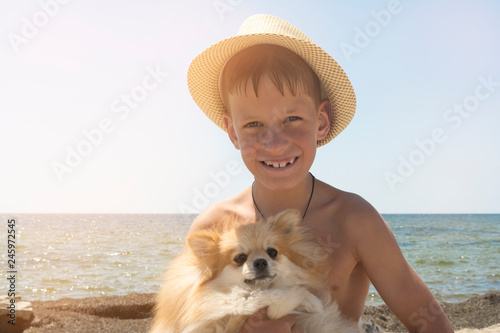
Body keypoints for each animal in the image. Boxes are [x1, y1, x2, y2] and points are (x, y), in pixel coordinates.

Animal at [150, 209, 362, 330]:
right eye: (240, 258)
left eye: (272, 252)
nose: (260, 262)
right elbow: (268, 298)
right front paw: (304, 298)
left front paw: (309, 300)